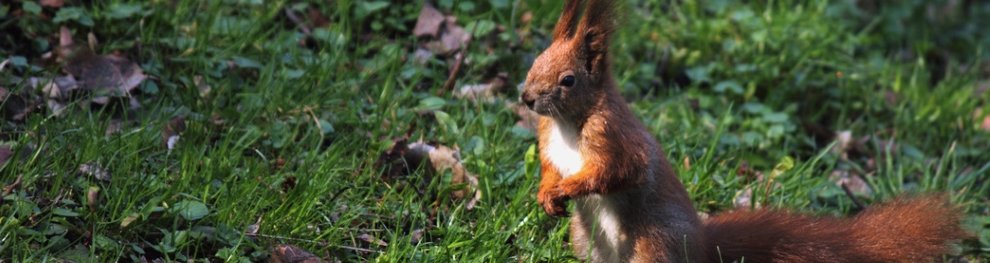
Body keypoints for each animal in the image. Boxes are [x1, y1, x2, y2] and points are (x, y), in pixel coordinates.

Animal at [524, 0, 972, 262]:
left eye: (568, 80)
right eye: (535, 60)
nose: (526, 98)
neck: (568, 123)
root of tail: (703, 248)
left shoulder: (613, 135)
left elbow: (620, 170)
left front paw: (568, 187)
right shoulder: (547, 138)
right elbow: (549, 165)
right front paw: (547, 190)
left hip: (652, 245)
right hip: (586, 241)